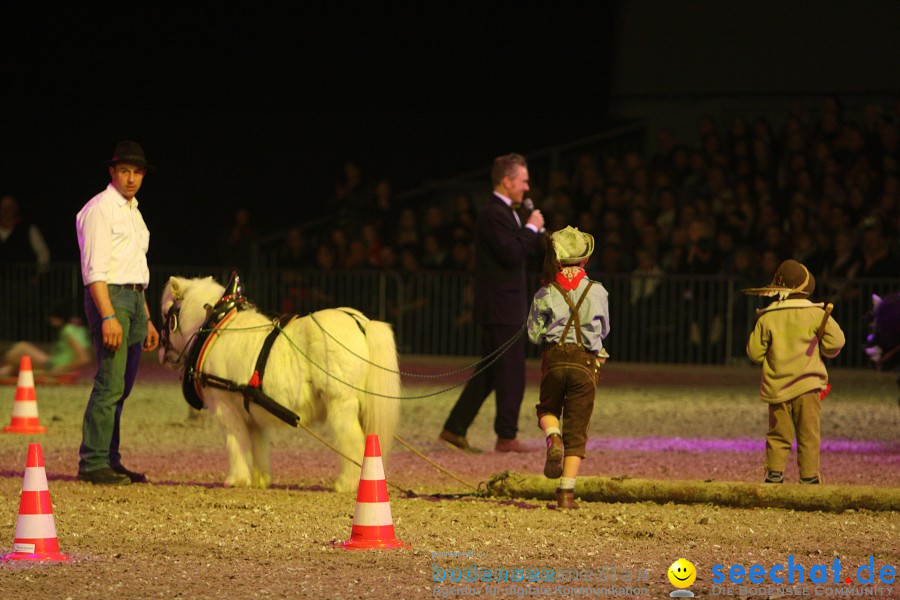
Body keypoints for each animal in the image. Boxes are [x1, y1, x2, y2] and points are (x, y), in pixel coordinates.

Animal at [159, 276, 400, 492]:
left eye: (165, 313)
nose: (161, 353)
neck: (216, 330)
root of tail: (361, 322)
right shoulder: (251, 412)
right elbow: (257, 445)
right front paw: (260, 479)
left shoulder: (225, 408)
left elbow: (235, 442)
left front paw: (236, 479)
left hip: (341, 404)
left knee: (353, 442)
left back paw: (347, 484)